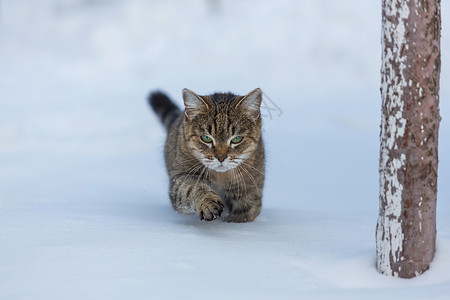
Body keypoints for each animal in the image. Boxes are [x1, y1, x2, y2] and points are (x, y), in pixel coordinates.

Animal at [149, 88, 266, 221]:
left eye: (237, 139)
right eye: (206, 138)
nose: (221, 157)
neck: (221, 177)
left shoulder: (250, 195)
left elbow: (243, 215)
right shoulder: (180, 178)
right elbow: (191, 188)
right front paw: (208, 202)